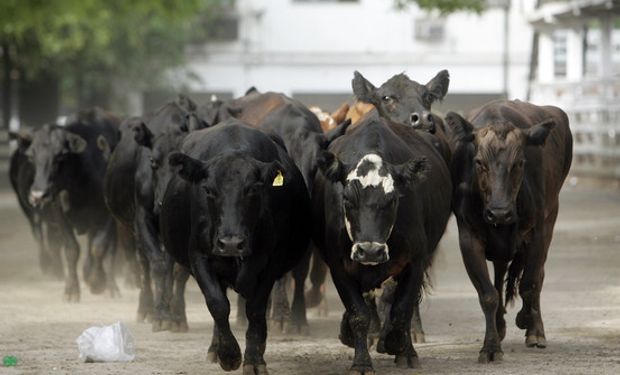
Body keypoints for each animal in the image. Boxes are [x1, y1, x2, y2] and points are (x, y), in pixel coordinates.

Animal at [25, 107, 120, 302]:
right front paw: (71, 290)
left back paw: (110, 286)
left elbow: (99, 247)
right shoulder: (60, 215)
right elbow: (72, 250)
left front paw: (97, 282)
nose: (38, 195)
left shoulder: (107, 217)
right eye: (31, 156)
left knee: (110, 250)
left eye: (61, 156)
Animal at [160, 121, 310, 375]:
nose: (230, 243)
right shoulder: (199, 256)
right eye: (208, 190)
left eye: (253, 189)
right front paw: (229, 354)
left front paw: (254, 358)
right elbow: (218, 304)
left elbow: (255, 307)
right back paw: (215, 347)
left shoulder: (272, 260)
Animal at [312, 114, 452, 374]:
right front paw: (361, 361)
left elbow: (401, 309)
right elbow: (359, 314)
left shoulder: (416, 261)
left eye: (393, 199)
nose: (370, 251)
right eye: (347, 198)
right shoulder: (338, 266)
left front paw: (396, 345)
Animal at [446, 100, 572, 364]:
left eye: (519, 163)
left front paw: (527, 321)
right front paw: (491, 346)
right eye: (479, 162)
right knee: (500, 271)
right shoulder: (468, 237)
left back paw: (536, 329)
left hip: (551, 218)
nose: (499, 213)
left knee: (537, 276)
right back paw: (500, 323)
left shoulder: (537, 233)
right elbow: (488, 294)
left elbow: (530, 283)